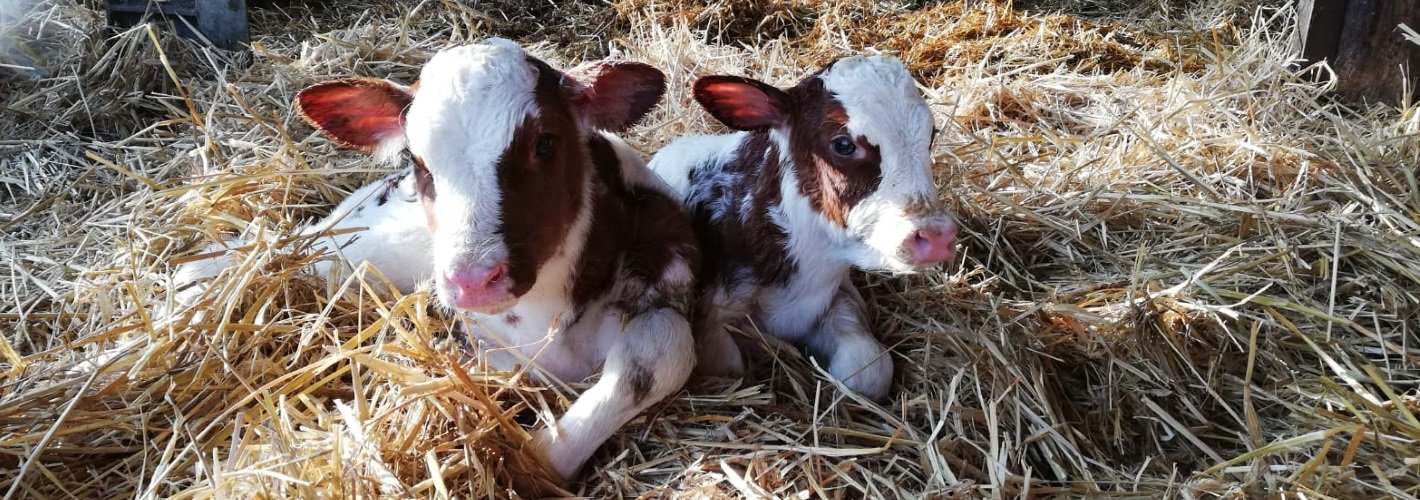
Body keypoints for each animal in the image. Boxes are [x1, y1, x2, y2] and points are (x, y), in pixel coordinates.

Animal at [171, 39, 698, 482]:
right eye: (418, 161)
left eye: (545, 144)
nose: (474, 281)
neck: (541, 315)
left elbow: (664, 351)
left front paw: (538, 457)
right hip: (368, 246)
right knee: (305, 249)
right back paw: (197, 277)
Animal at [650, 56, 959, 403]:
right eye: (843, 145)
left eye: (931, 135)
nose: (936, 236)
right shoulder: (715, 314)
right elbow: (730, 364)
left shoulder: (839, 296)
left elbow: (868, 369)